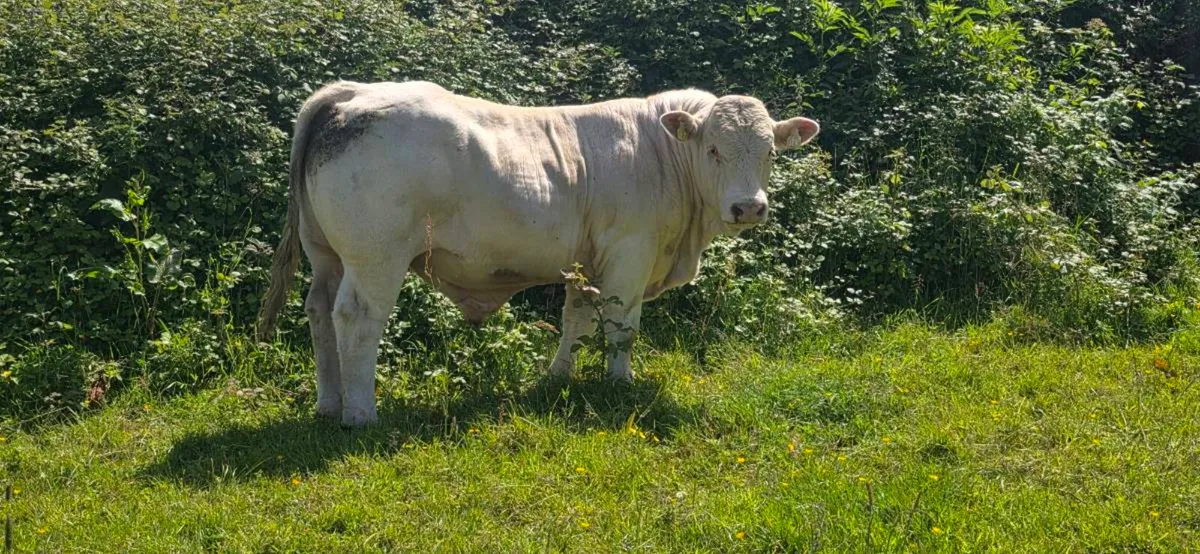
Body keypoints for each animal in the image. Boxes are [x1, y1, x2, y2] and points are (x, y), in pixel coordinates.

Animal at [257, 81, 820, 426]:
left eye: (771, 152)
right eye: (714, 150)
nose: (749, 207)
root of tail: (351, 93)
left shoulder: (585, 263)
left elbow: (577, 320)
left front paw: (558, 377)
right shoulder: (630, 254)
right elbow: (622, 326)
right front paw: (620, 382)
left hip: (324, 253)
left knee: (318, 312)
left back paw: (328, 404)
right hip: (375, 257)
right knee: (356, 318)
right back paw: (360, 414)